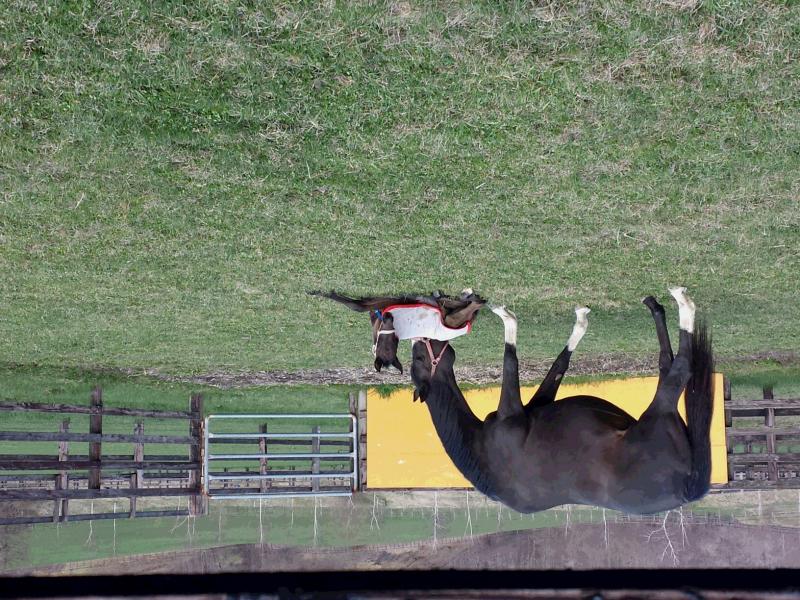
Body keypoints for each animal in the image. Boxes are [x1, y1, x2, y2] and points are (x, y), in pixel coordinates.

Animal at [309, 289, 485, 373]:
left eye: (392, 342)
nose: (388, 316)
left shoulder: (378, 304)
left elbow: (355, 305)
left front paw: (320, 293)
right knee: (458, 304)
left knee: (466, 304)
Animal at [409, 287, 714, 514]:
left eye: (417, 356)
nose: (415, 334)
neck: (481, 455)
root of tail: (687, 490)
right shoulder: (514, 411)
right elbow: (511, 360)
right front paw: (508, 318)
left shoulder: (532, 406)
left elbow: (557, 364)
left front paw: (579, 321)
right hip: (658, 412)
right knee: (678, 368)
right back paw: (681, 304)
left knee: (668, 363)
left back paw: (660, 306)